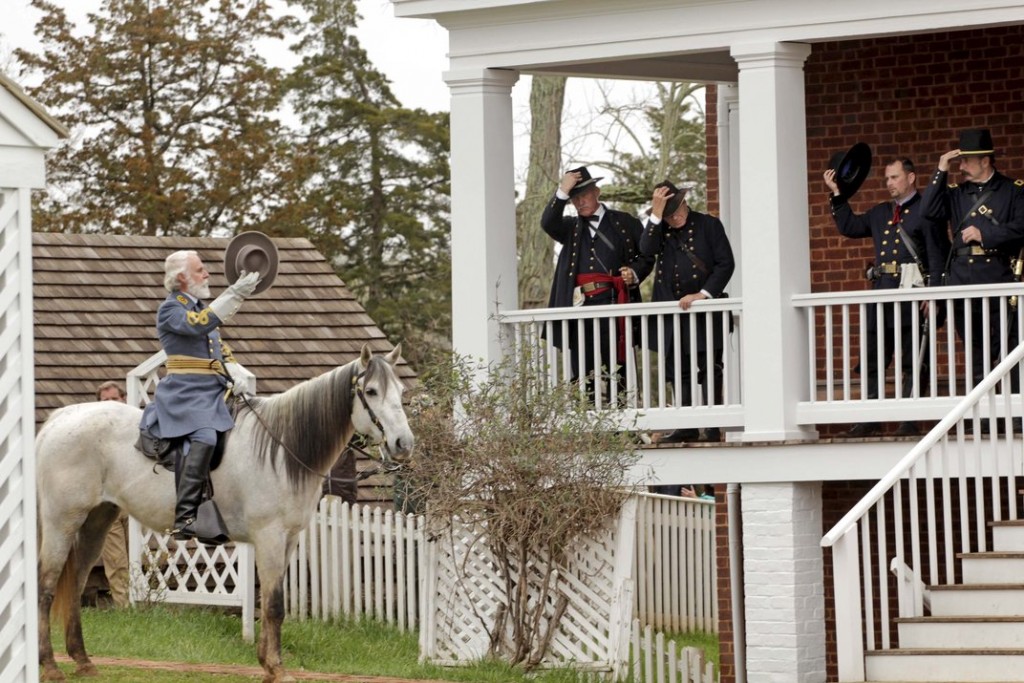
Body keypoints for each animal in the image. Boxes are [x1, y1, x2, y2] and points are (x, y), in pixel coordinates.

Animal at [37, 348, 411, 683]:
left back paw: (83, 660)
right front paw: (277, 669)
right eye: (372, 391)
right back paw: (50, 665)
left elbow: (272, 602)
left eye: (401, 390)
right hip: (62, 522)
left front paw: (268, 665)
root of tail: (61, 419)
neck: (281, 448)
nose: (403, 444)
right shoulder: (269, 538)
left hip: (96, 522)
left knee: (76, 583)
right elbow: (274, 605)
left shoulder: (288, 540)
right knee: (46, 584)